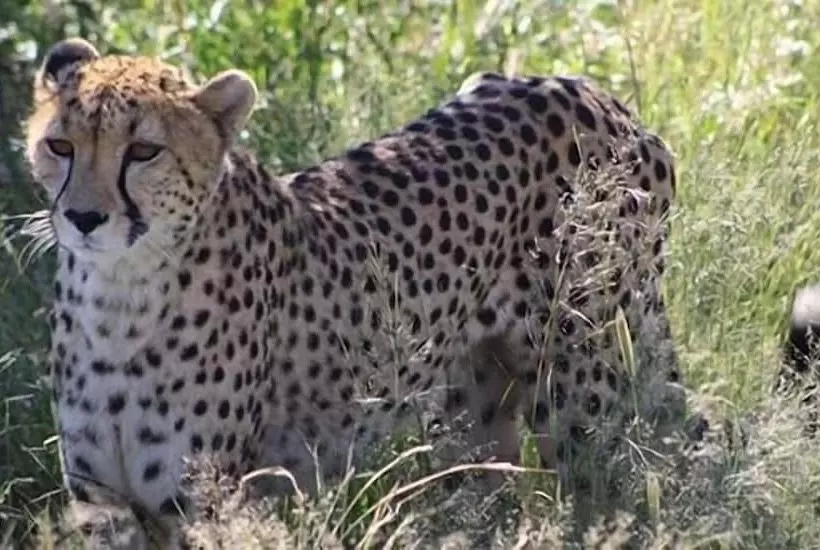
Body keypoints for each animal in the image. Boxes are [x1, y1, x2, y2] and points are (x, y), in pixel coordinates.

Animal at [25, 37, 682, 545]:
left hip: (579, 394)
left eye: (144, 151)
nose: (83, 217)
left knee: (604, 491)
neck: (119, 296)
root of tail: (591, 92)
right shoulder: (102, 505)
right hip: (473, 408)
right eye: (60, 145)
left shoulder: (203, 505)